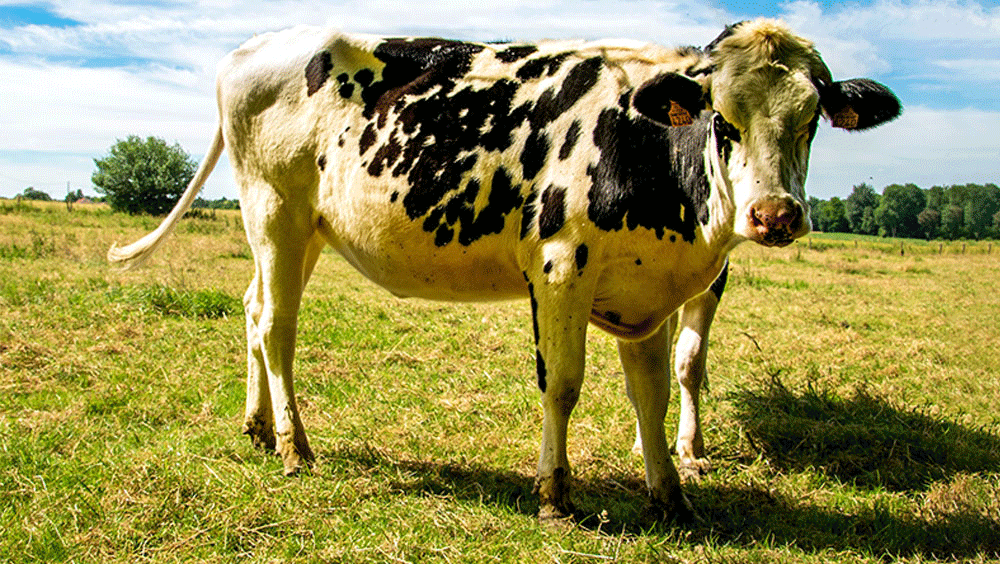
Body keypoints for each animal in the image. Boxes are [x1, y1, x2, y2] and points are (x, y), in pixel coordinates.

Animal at [107, 19, 900, 524]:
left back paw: (258, 426)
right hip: (274, 209)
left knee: (251, 309)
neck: (645, 149)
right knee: (276, 327)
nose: (775, 214)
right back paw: (295, 448)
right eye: (720, 117)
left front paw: (671, 494)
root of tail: (256, 45)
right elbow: (565, 385)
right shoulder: (560, 267)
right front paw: (555, 494)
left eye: (811, 119)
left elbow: (652, 392)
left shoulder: (650, 293)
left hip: (302, 233)